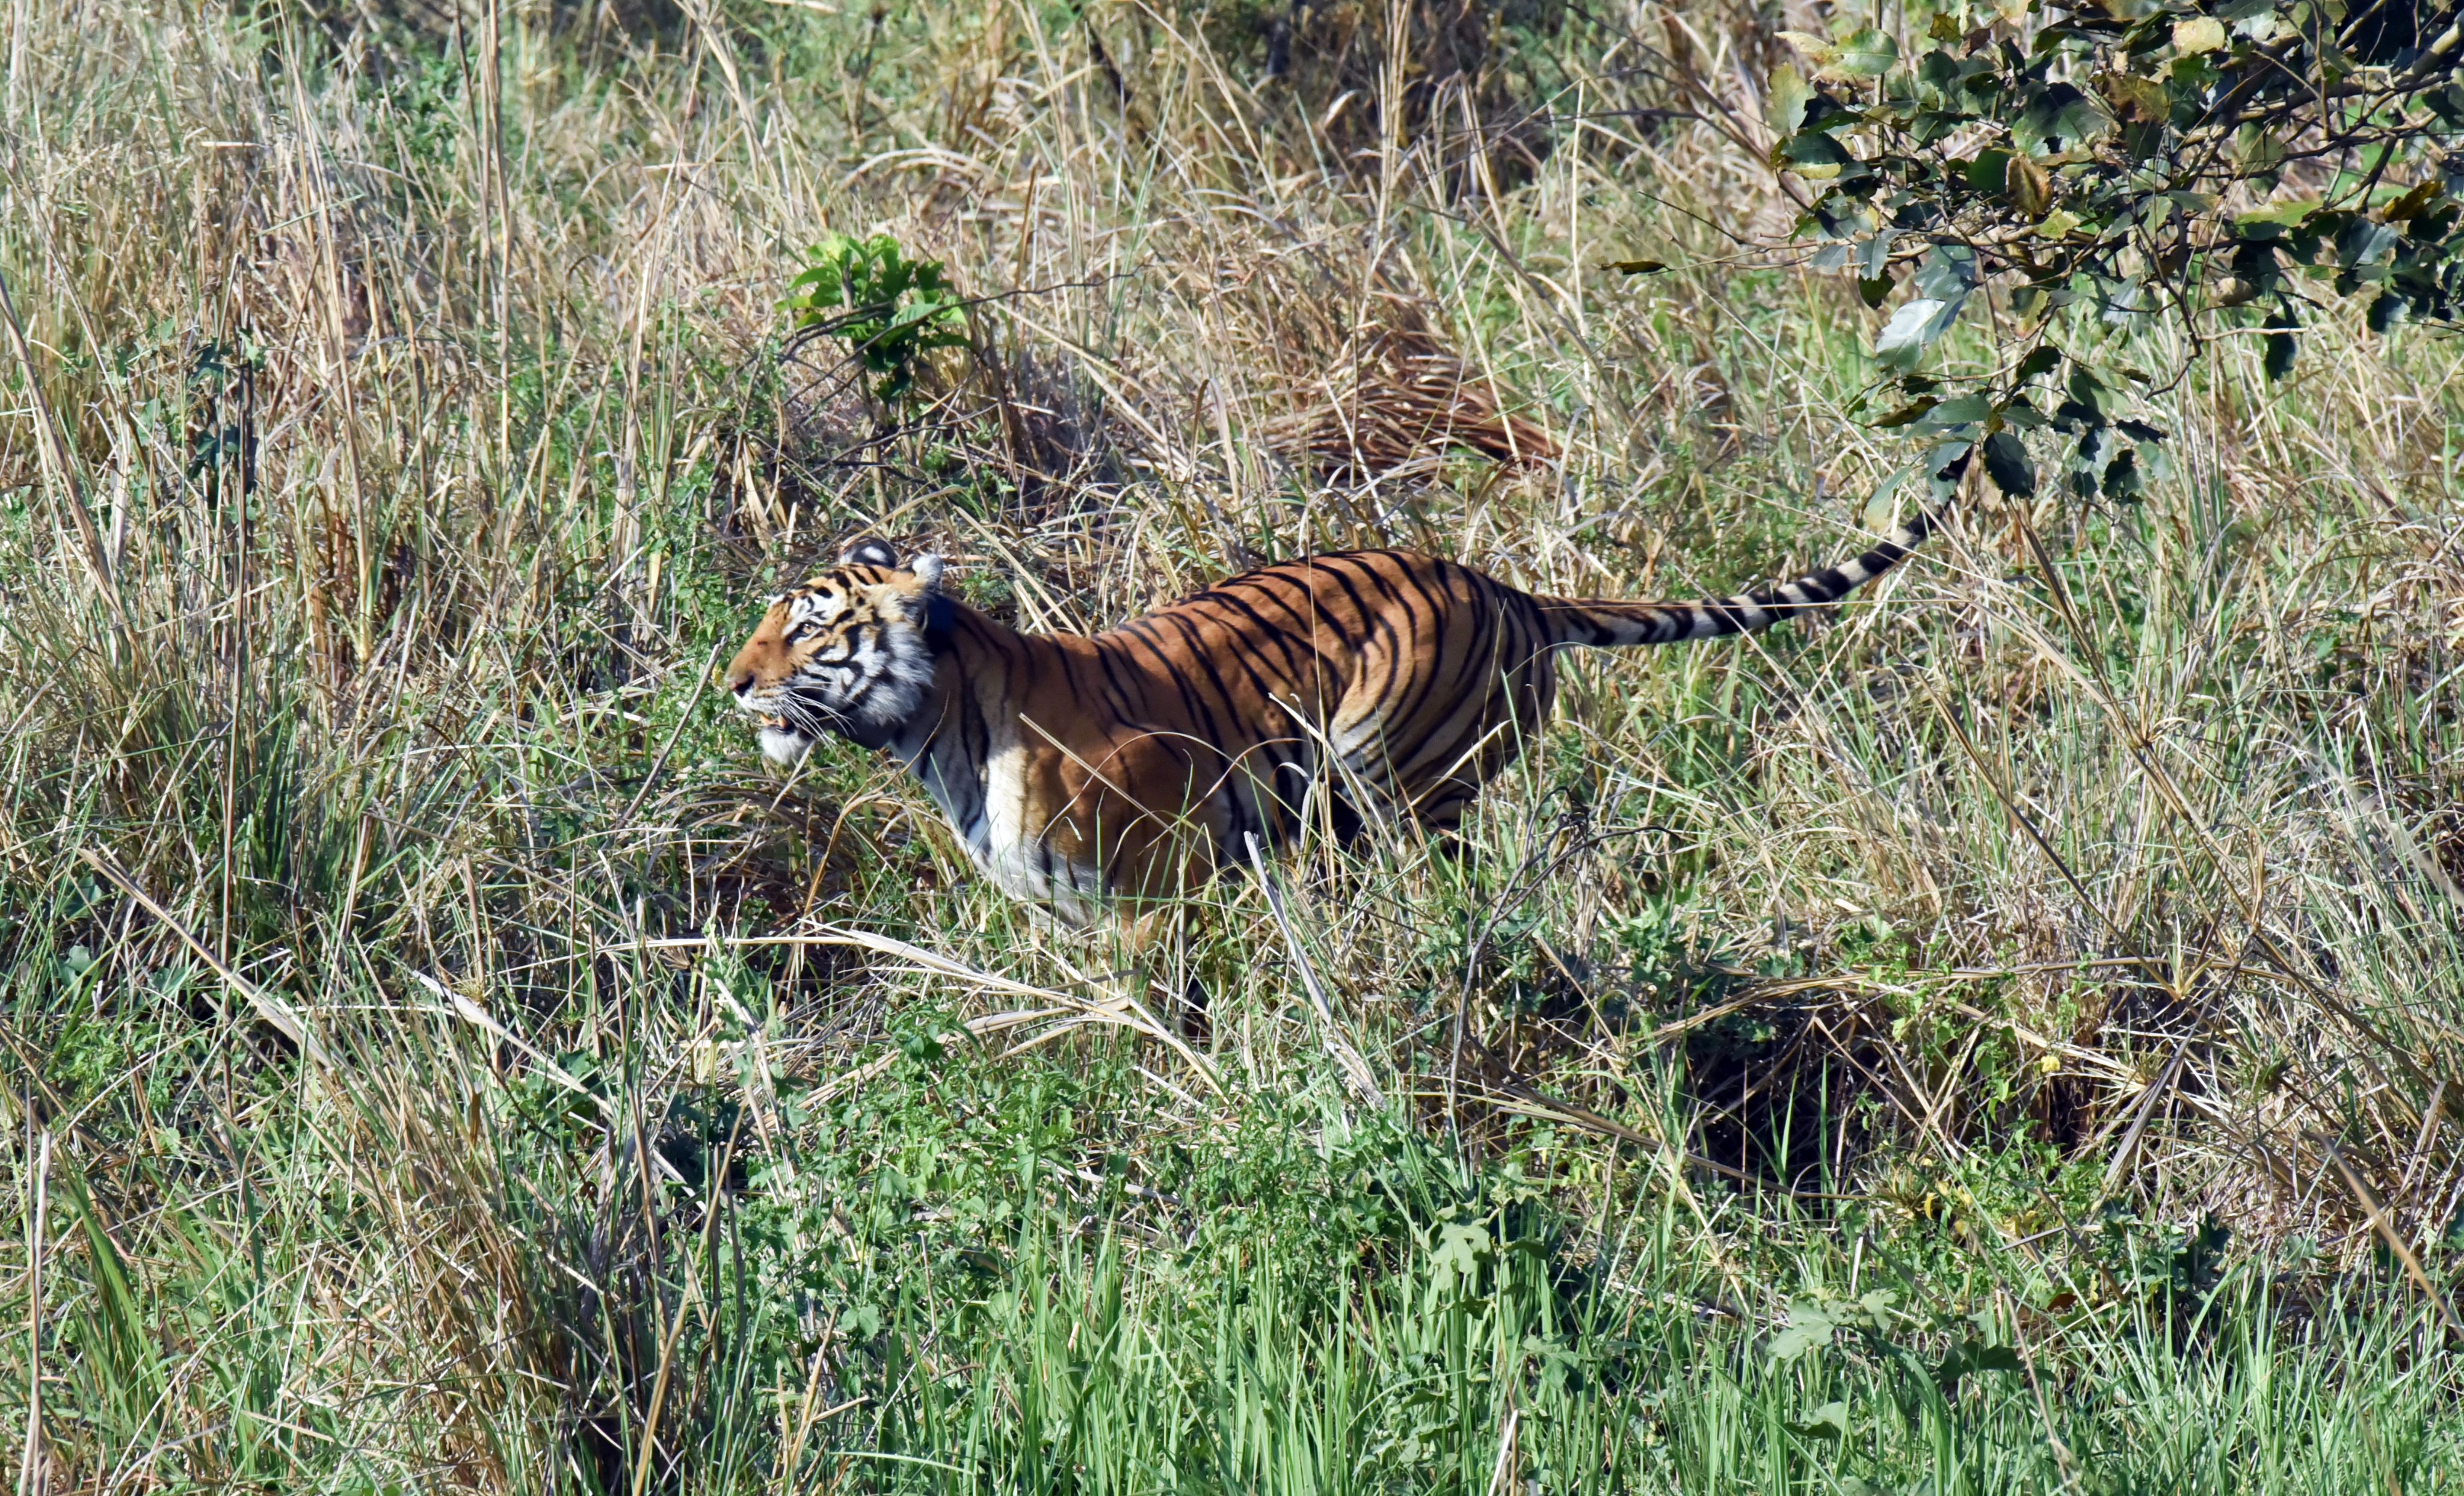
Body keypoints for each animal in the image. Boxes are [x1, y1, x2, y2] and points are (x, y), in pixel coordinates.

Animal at [719, 520, 1932, 931]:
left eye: (808, 627)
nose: (731, 682)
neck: (939, 737)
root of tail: (1503, 587)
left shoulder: (1152, 905)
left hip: (1391, 771)